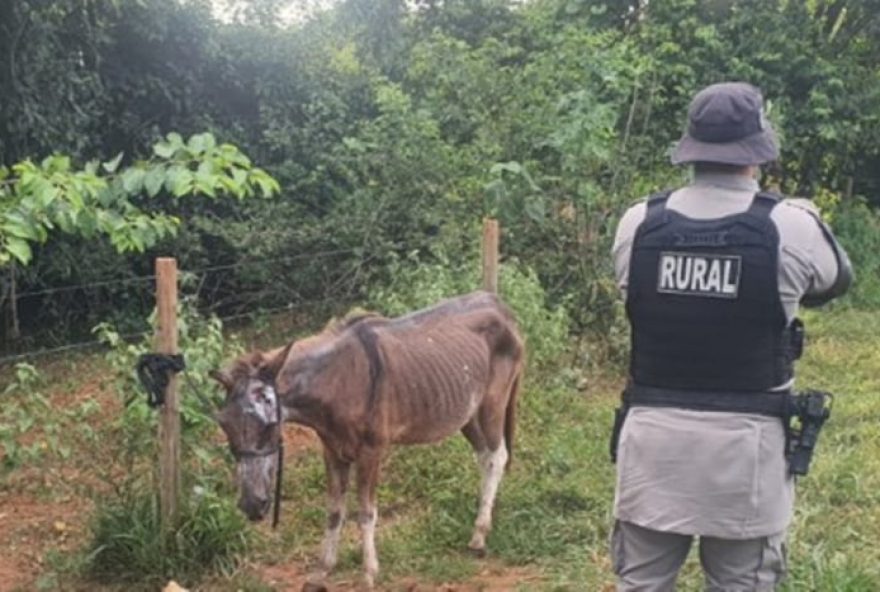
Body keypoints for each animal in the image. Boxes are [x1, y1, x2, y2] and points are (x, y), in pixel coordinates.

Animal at [210, 290, 524, 584]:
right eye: (224, 424)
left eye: (270, 424)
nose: (251, 506)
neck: (339, 382)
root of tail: (498, 304)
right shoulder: (332, 451)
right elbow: (334, 511)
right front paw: (322, 570)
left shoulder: (371, 452)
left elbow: (365, 512)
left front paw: (370, 573)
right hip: (466, 413)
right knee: (484, 457)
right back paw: (484, 520)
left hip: (492, 403)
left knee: (497, 457)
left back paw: (479, 535)